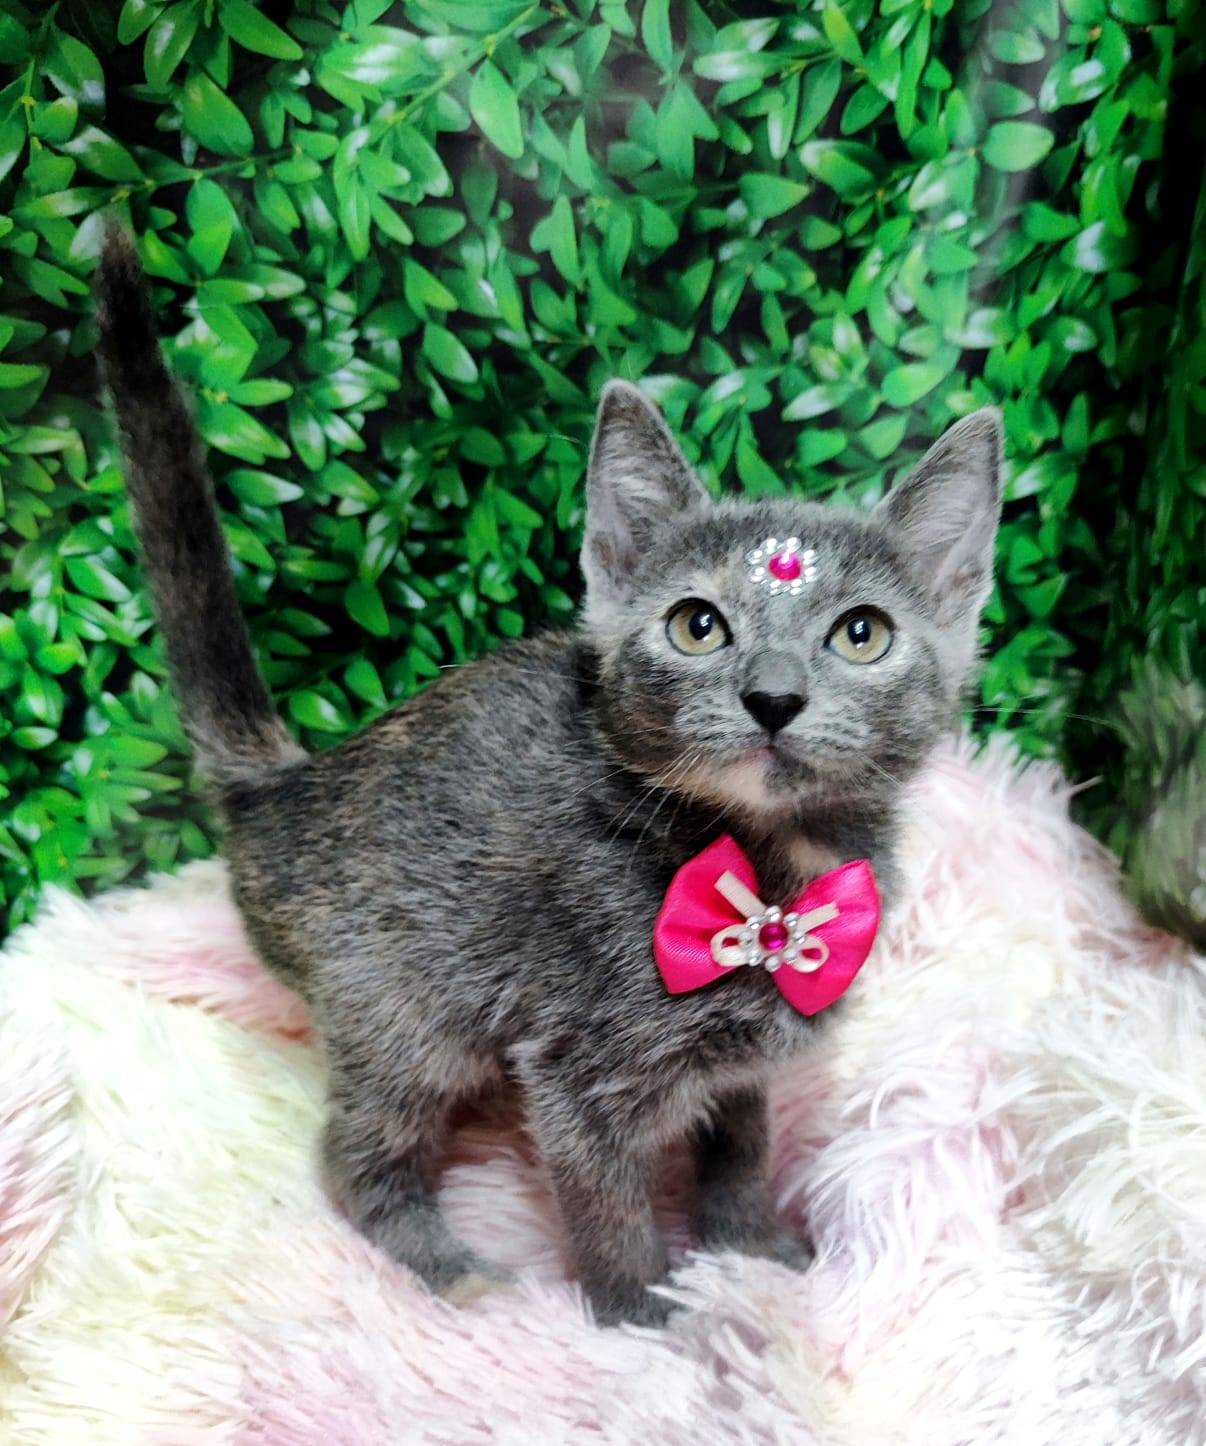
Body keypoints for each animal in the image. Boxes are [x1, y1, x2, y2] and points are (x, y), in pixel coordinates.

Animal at [95, 227, 1002, 1326]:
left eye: (862, 634)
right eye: (698, 626)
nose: (774, 695)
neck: (761, 869)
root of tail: (290, 789)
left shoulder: (741, 1061)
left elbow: (741, 1144)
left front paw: (749, 1251)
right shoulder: (581, 1070)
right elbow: (608, 1208)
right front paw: (647, 1321)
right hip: (398, 1004)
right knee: (354, 1152)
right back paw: (450, 1267)